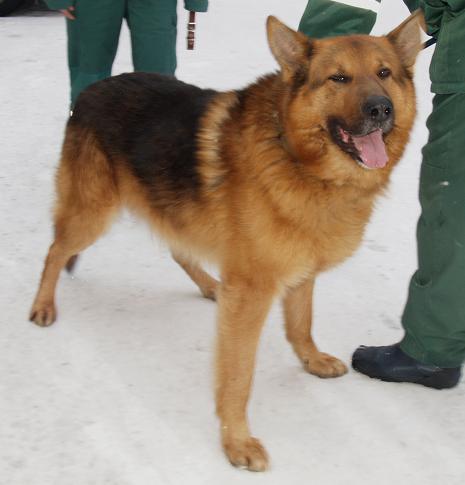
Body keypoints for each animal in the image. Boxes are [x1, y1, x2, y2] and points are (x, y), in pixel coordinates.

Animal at [30, 12, 424, 471]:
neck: (294, 154)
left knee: (177, 249)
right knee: (55, 250)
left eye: (384, 73)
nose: (381, 108)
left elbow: (301, 323)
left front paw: (310, 359)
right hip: (92, 214)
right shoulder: (253, 293)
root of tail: (92, 88)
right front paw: (236, 441)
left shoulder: (299, 271)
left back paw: (209, 285)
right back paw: (43, 305)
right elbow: (238, 375)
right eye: (338, 78)